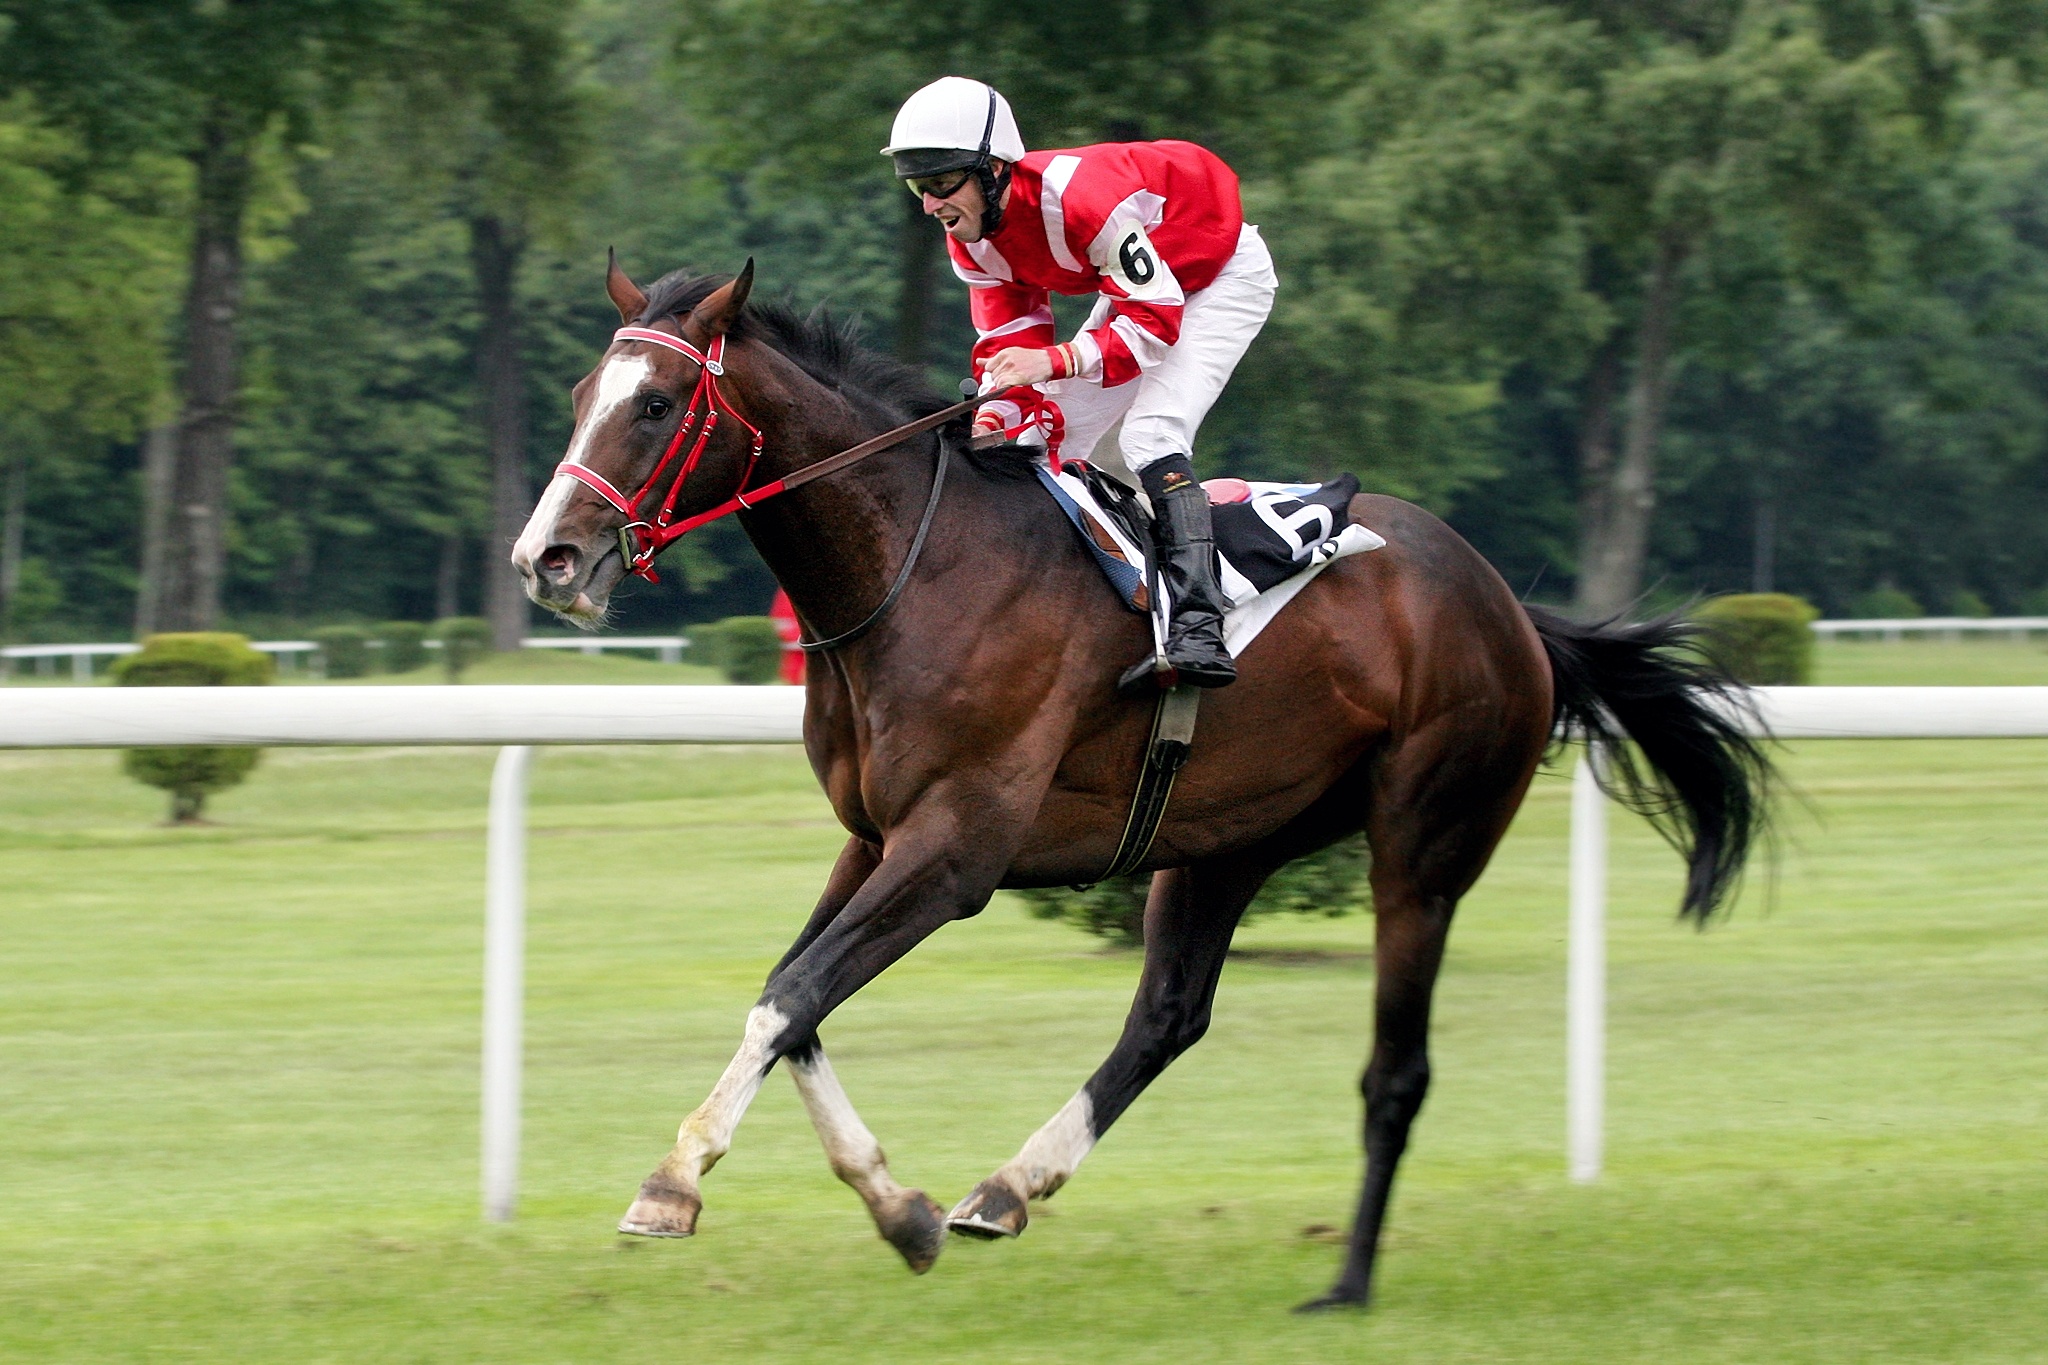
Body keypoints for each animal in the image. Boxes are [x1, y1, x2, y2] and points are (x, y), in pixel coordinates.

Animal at [507, 258, 1761, 1309]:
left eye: (657, 404)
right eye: (579, 389)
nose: (546, 559)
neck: (916, 567)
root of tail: (1509, 607)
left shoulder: (956, 847)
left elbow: (790, 996)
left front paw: (673, 1183)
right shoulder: (871, 838)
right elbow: (794, 999)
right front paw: (899, 1208)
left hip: (1423, 843)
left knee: (1395, 1067)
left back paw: (1346, 1282)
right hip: (1225, 839)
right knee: (1167, 1013)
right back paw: (1005, 1188)